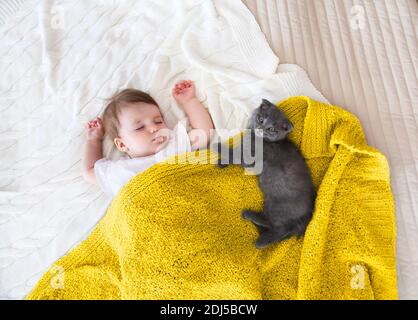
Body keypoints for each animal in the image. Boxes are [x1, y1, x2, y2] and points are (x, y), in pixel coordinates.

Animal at [214, 99, 316, 249]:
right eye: (261, 119)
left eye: (272, 129)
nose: (261, 128)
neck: (256, 138)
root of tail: (308, 214)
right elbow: (236, 156)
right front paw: (222, 163)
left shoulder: (250, 159)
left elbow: (235, 155)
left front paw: (217, 147)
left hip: (278, 206)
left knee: (279, 228)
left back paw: (258, 237)